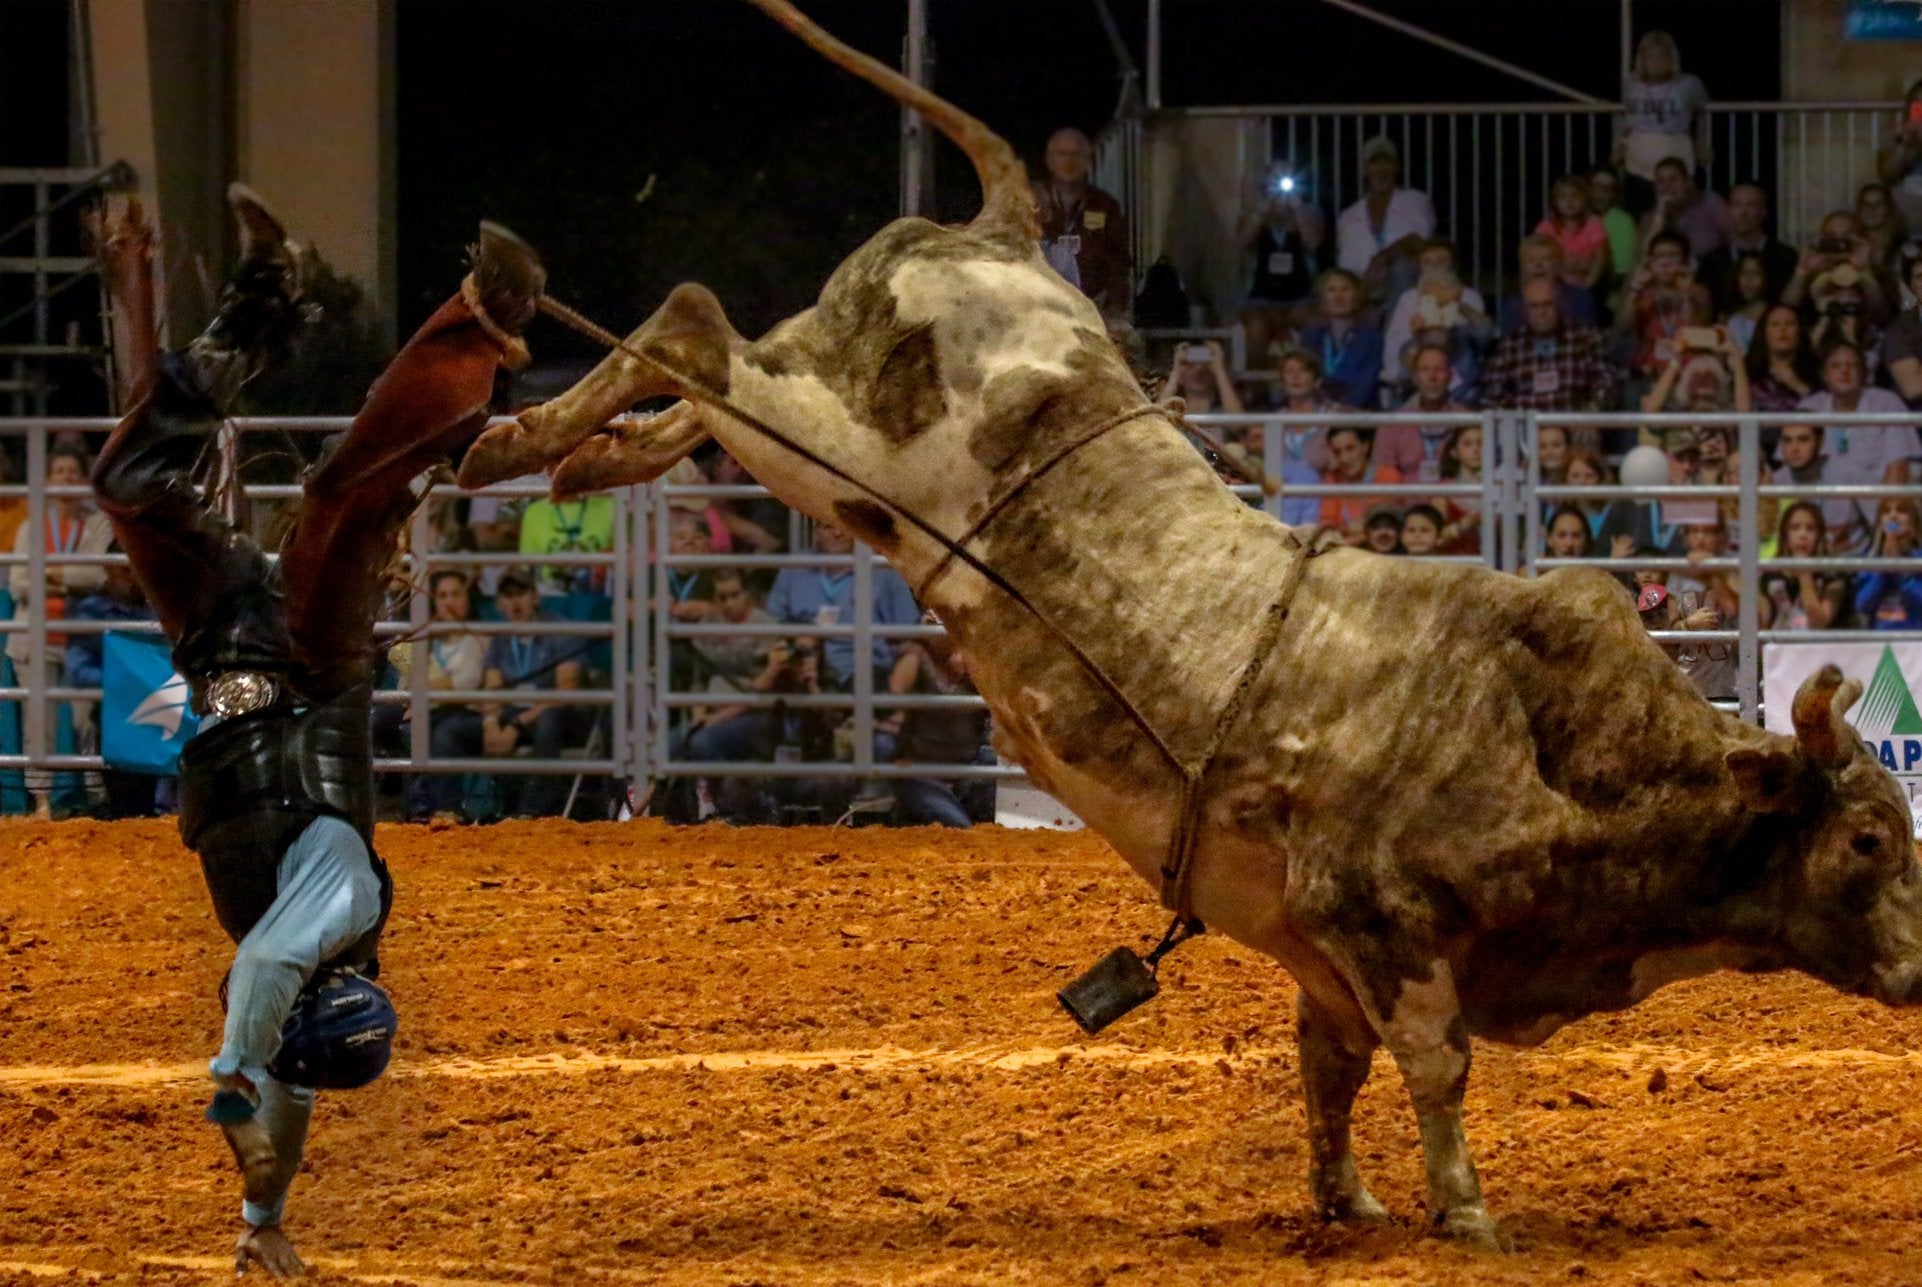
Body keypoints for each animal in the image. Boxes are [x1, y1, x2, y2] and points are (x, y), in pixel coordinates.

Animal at [453, 0, 1922, 1252]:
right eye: (1862, 838)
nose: (1917, 972)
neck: (1548, 740)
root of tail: (1004, 238)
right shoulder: (1383, 923)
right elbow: (1432, 1065)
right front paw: (1463, 1211)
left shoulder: (1320, 953)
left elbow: (1328, 1069)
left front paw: (1347, 1199)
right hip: (833, 440)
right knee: (693, 326)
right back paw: (513, 427)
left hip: (820, 449)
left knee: (697, 376)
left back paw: (583, 452)